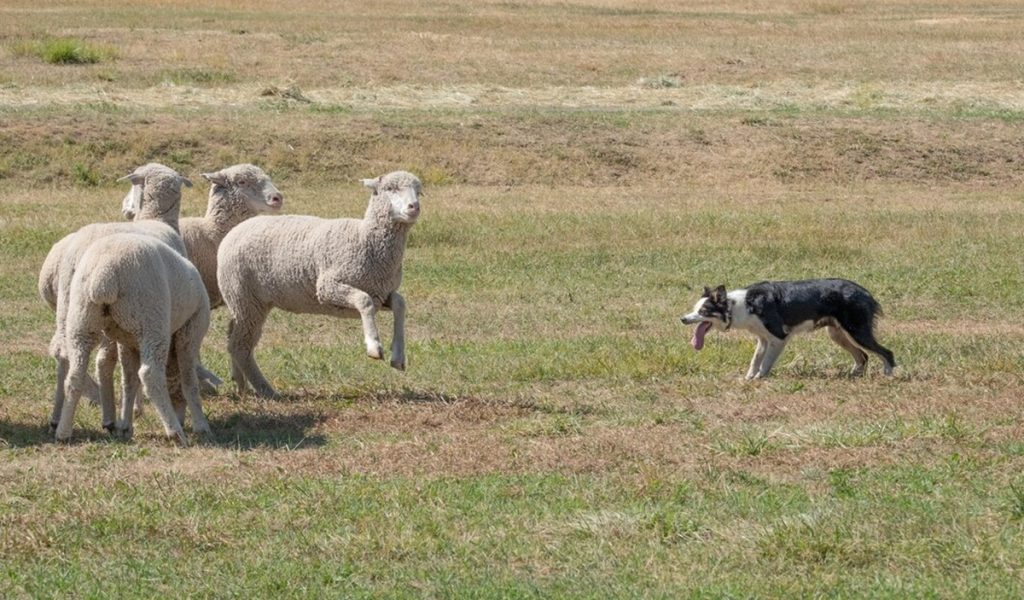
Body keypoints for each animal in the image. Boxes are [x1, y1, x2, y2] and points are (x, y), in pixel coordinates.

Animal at [55, 233, 210, 444]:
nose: (181, 418)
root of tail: (104, 274)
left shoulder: (127, 341)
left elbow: (128, 381)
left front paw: (125, 426)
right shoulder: (191, 331)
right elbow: (189, 381)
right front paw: (201, 425)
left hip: (82, 321)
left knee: (74, 376)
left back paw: (63, 431)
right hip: (151, 322)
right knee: (150, 375)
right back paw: (175, 432)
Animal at [218, 168, 421, 397]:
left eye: (419, 192)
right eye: (390, 188)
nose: (414, 207)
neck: (365, 238)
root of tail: (235, 230)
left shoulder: (381, 292)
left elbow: (400, 304)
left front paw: (398, 356)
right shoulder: (328, 287)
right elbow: (364, 301)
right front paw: (374, 346)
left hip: (250, 302)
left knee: (232, 336)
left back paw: (241, 383)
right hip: (244, 298)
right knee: (240, 346)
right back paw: (266, 390)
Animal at [684, 276, 892, 378]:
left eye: (703, 311)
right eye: (694, 309)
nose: (683, 319)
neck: (739, 306)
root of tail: (865, 292)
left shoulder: (778, 337)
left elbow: (765, 363)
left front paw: (759, 379)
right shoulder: (763, 339)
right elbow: (755, 361)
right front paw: (748, 379)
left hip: (857, 332)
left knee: (887, 353)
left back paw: (888, 375)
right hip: (837, 334)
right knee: (863, 356)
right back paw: (852, 375)